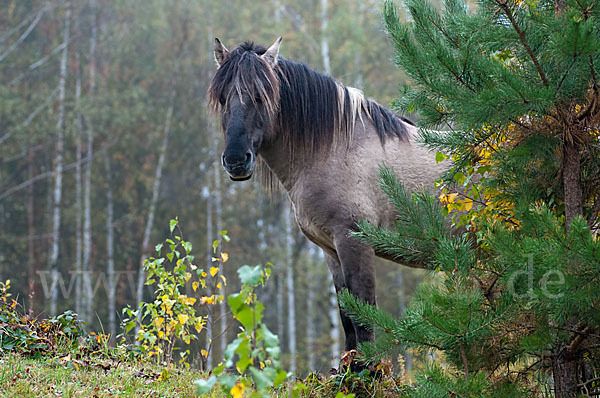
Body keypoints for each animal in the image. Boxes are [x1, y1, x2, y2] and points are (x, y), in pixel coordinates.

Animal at [209, 38, 442, 358]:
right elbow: (348, 318)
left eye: (260, 96)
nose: (235, 161)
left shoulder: (355, 243)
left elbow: (363, 318)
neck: (335, 149)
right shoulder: (330, 250)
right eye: (222, 99)